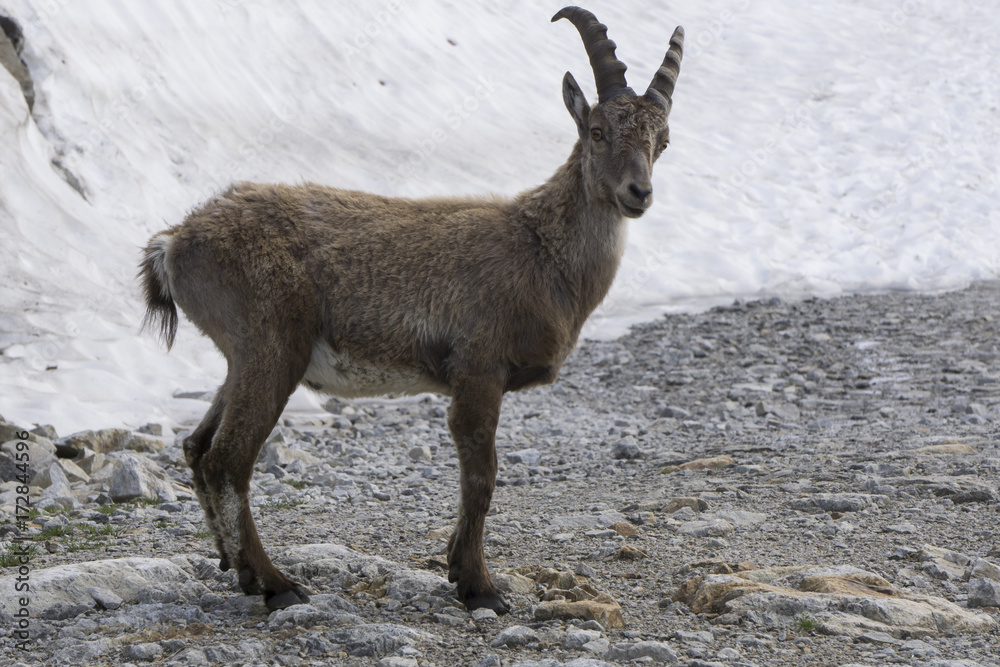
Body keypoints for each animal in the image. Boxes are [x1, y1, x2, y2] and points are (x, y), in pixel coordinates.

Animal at [139, 6, 683, 613]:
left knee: (197, 447)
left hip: (242, 359)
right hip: (271, 347)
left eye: (662, 141)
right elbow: (482, 478)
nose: (638, 193)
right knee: (227, 459)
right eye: (597, 131)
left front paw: (461, 571)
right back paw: (274, 582)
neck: (540, 251)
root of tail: (174, 243)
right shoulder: (478, 369)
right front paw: (479, 586)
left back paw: (233, 565)